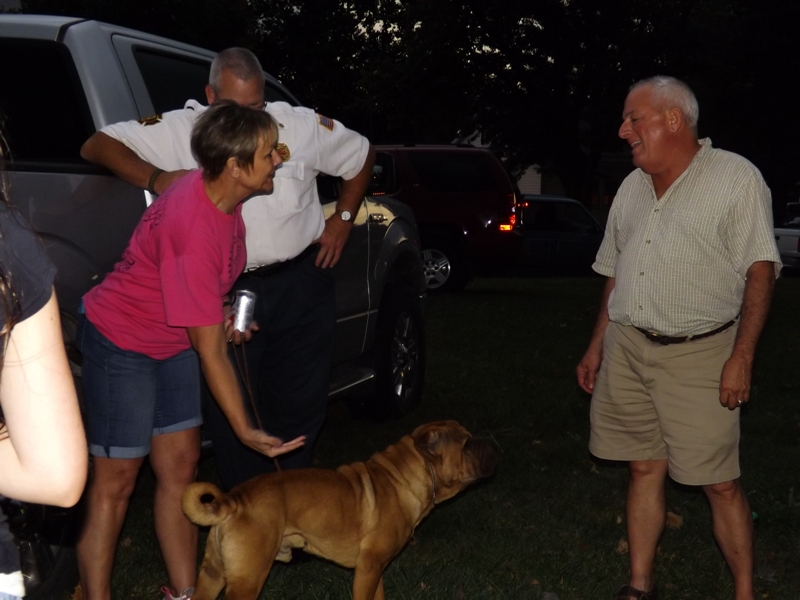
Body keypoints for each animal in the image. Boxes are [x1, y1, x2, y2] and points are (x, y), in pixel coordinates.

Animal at [182, 420, 498, 600]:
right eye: (467, 444)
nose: (493, 443)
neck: (404, 477)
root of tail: (233, 499)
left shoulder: (372, 569)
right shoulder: (368, 569)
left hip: (212, 574)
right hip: (248, 579)